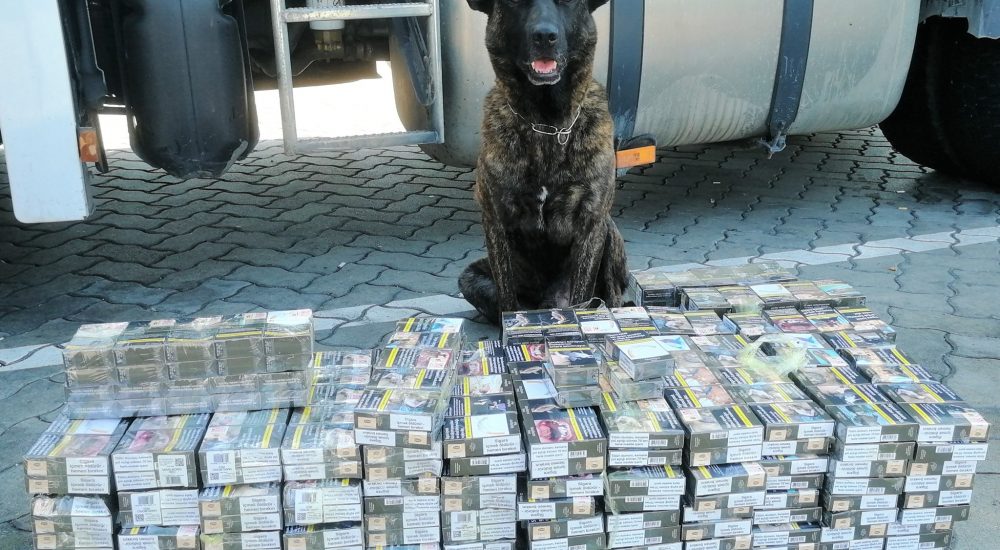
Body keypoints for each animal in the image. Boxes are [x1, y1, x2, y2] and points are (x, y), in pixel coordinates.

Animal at [459, 0, 628, 324]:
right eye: (515, 3)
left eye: (569, 2)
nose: (545, 36)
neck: (547, 125)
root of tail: (546, 304)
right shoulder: (496, 222)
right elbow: (507, 296)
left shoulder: (592, 223)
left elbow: (583, 292)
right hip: (469, 278)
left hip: (610, 232)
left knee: (613, 296)